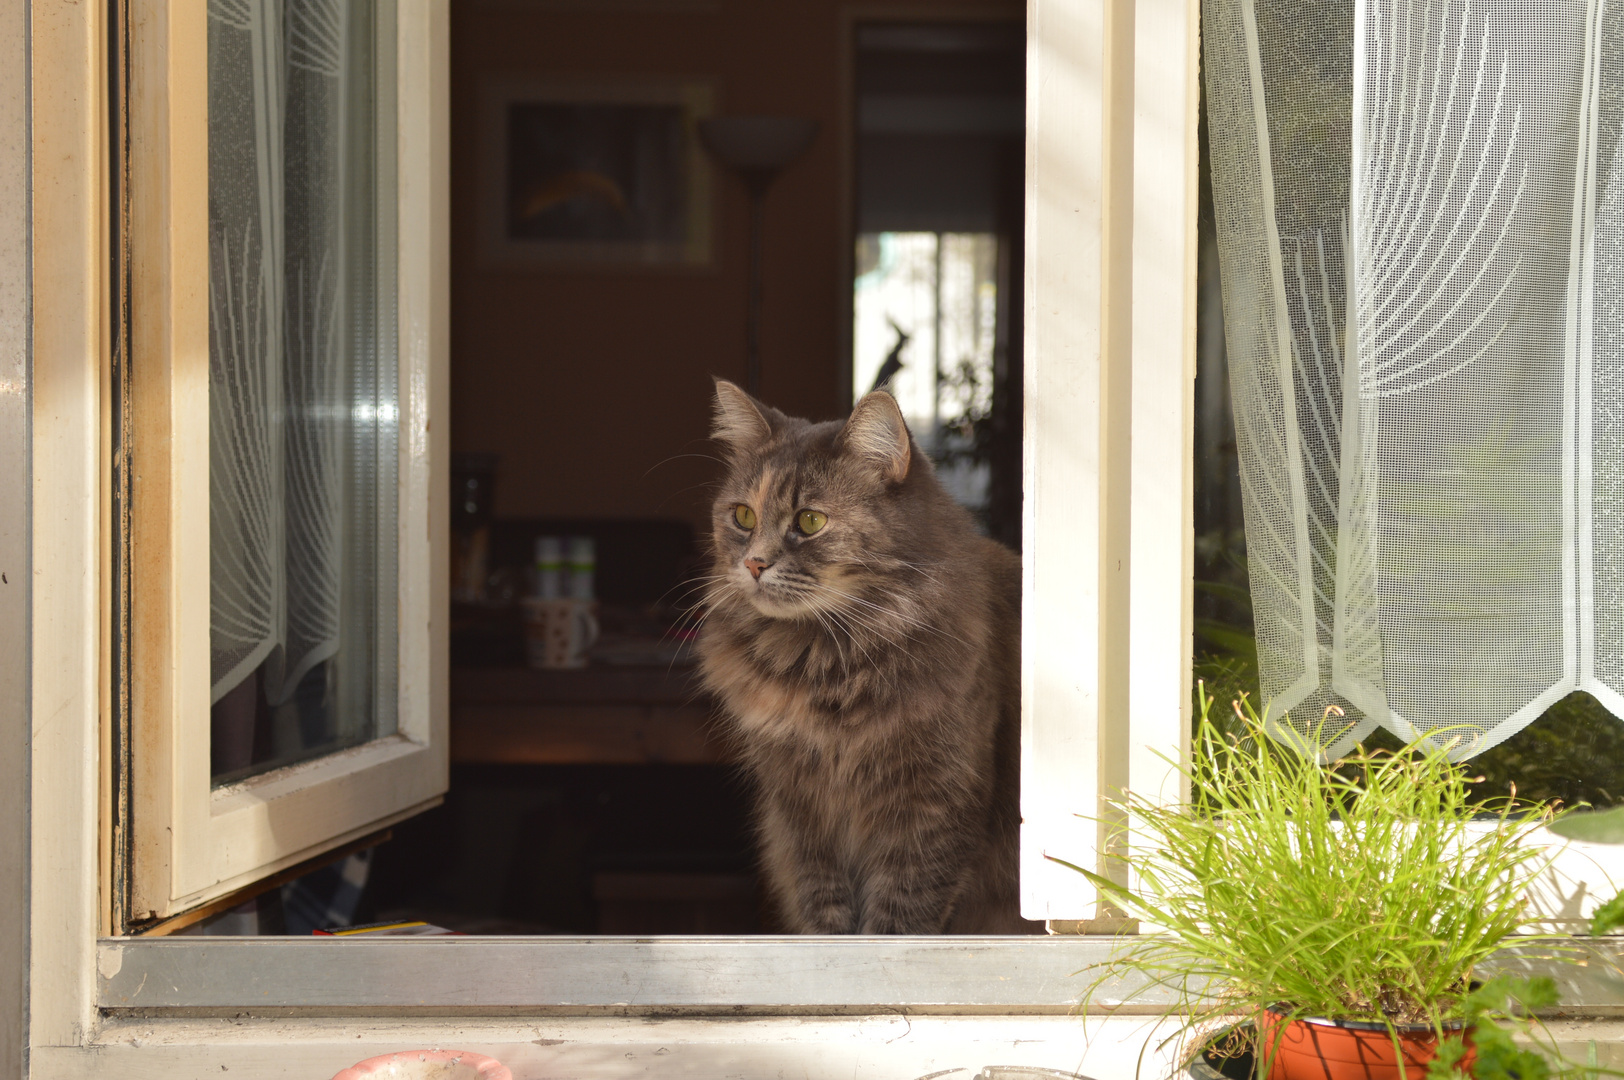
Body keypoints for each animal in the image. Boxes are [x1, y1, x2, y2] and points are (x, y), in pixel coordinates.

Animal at [695, 378, 1026, 935]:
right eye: (743, 516)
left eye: (809, 521)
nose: (753, 564)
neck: (827, 663)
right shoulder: (801, 813)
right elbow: (824, 911)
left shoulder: (933, 804)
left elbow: (898, 916)